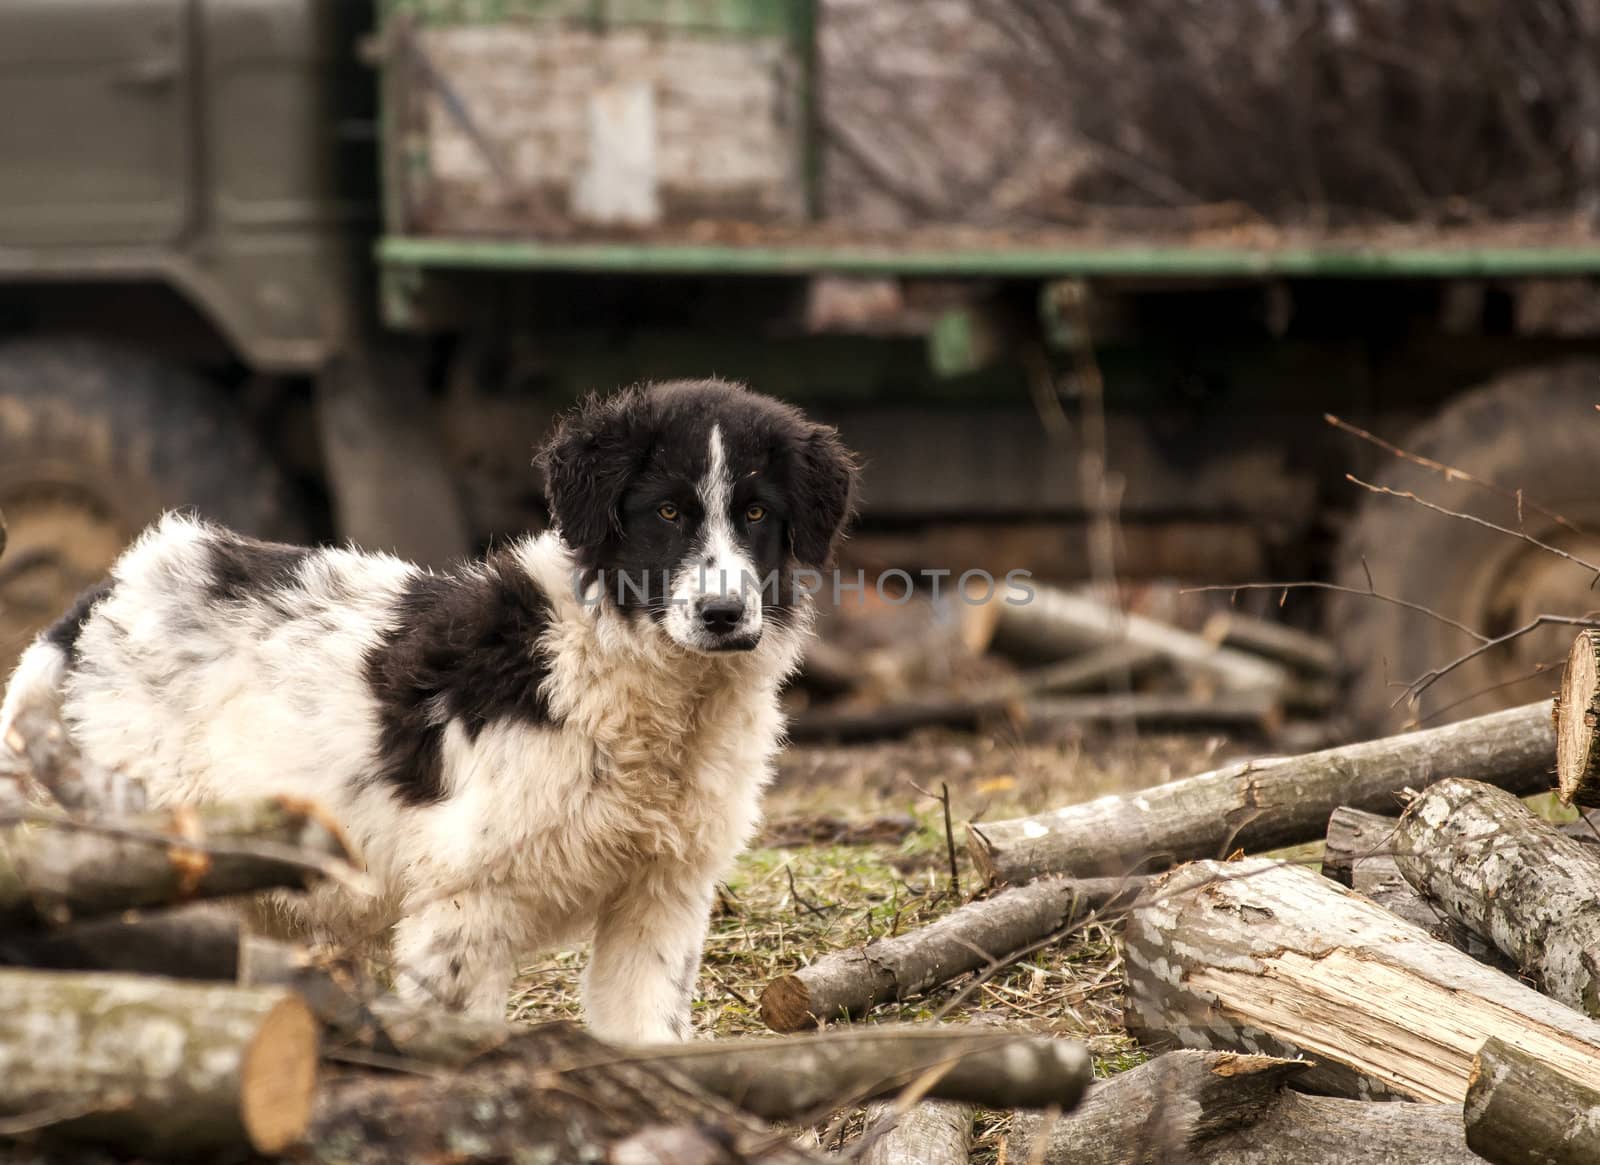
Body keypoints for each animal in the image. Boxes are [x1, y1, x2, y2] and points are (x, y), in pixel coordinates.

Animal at [0, 377, 857, 1043]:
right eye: (669, 513)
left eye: (756, 514)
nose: (722, 614)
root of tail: (95, 602)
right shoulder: (465, 898)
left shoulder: (662, 894)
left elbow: (645, 1029)